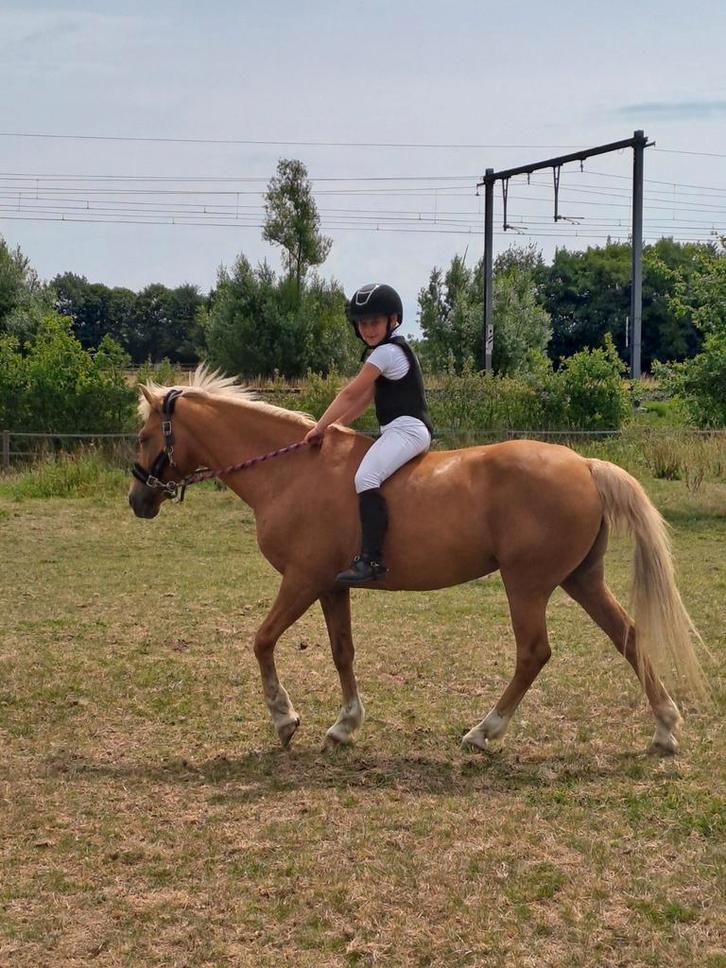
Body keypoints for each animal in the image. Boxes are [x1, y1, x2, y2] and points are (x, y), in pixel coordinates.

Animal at [128, 367, 707, 756]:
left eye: (144, 436)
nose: (138, 501)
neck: (290, 471)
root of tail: (584, 464)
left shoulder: (302, 580)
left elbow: (263, 641)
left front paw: (284, 719)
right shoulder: (331, 585)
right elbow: (342, 652)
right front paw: (344, 725)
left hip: (527, 584)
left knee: (534, 653)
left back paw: (484, 732)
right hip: (580, 579)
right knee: (628, 636)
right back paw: (664, 729)